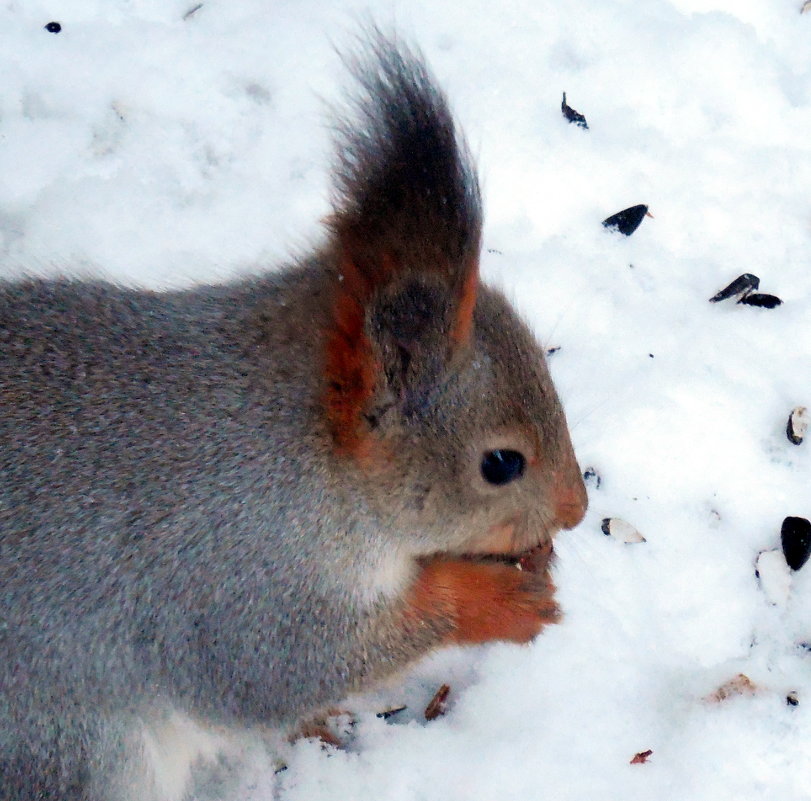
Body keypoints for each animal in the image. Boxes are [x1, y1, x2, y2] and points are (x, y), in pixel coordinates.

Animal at [0, 32, 584, 800]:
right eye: (501, 463)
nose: (575, 510)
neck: (306, 456)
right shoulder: (233, 575)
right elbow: (282, 668)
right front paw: (499, 599)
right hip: (74, 751)